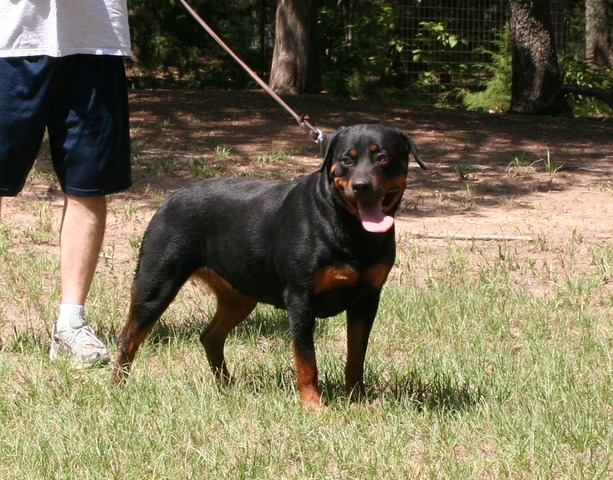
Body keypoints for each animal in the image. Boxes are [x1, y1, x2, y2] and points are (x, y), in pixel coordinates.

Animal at [112, 123, 424, 408]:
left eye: (382, 157)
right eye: (347, 160)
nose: (361, 186)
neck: (351, 229)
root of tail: (168, 198)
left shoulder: (367, 300)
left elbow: (356, 355)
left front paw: (356, 399)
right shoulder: (300, 299)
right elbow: (306, 359)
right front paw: (313, 405)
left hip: (238, 296)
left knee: (210, 336)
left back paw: (227, 385)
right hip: (156, 284)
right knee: (129, 337)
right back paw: (117, 387)